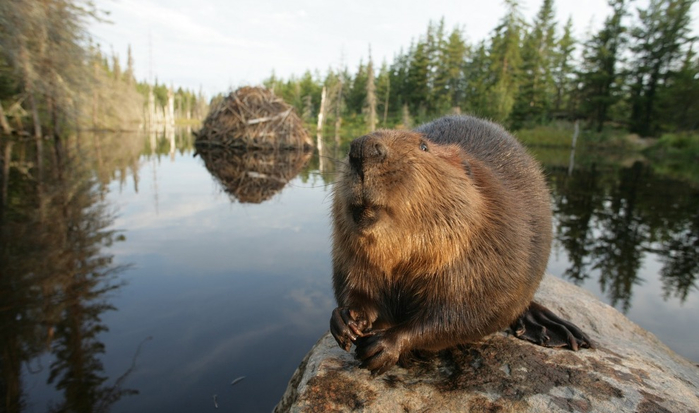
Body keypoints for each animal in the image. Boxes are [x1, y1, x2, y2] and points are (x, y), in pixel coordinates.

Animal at [330, 115, 592, 374]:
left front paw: (385, 346)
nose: (362, 148)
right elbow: (355, 285)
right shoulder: (349, 252)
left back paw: (558, 330)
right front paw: (345, 320)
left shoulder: (492, 250)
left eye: (423, 146)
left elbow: (465, 313)